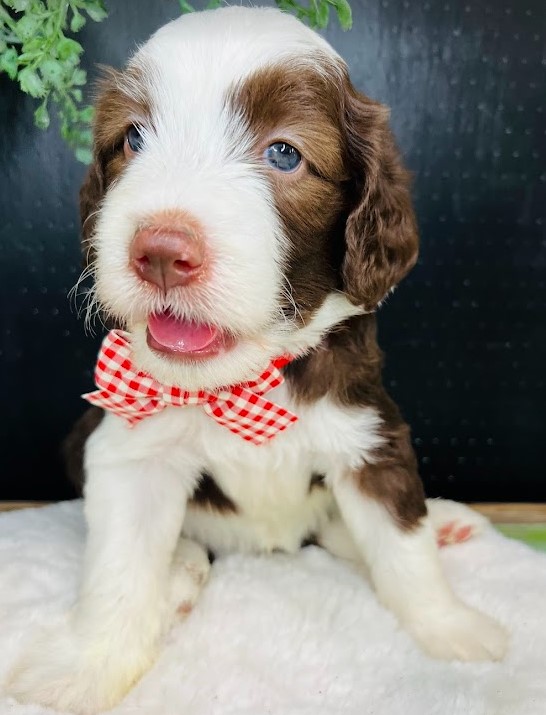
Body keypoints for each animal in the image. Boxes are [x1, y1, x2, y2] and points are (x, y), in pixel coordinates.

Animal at [6, 7, 506, 715]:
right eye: (132, 139)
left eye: (284, 153)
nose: (161, 251)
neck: (245, 379)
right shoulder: (128, 447)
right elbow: (117, 570)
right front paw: (81, 670)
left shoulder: (369, 436)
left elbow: (401, 546)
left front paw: (452, 628)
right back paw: (181, 570)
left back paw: (446, 524)